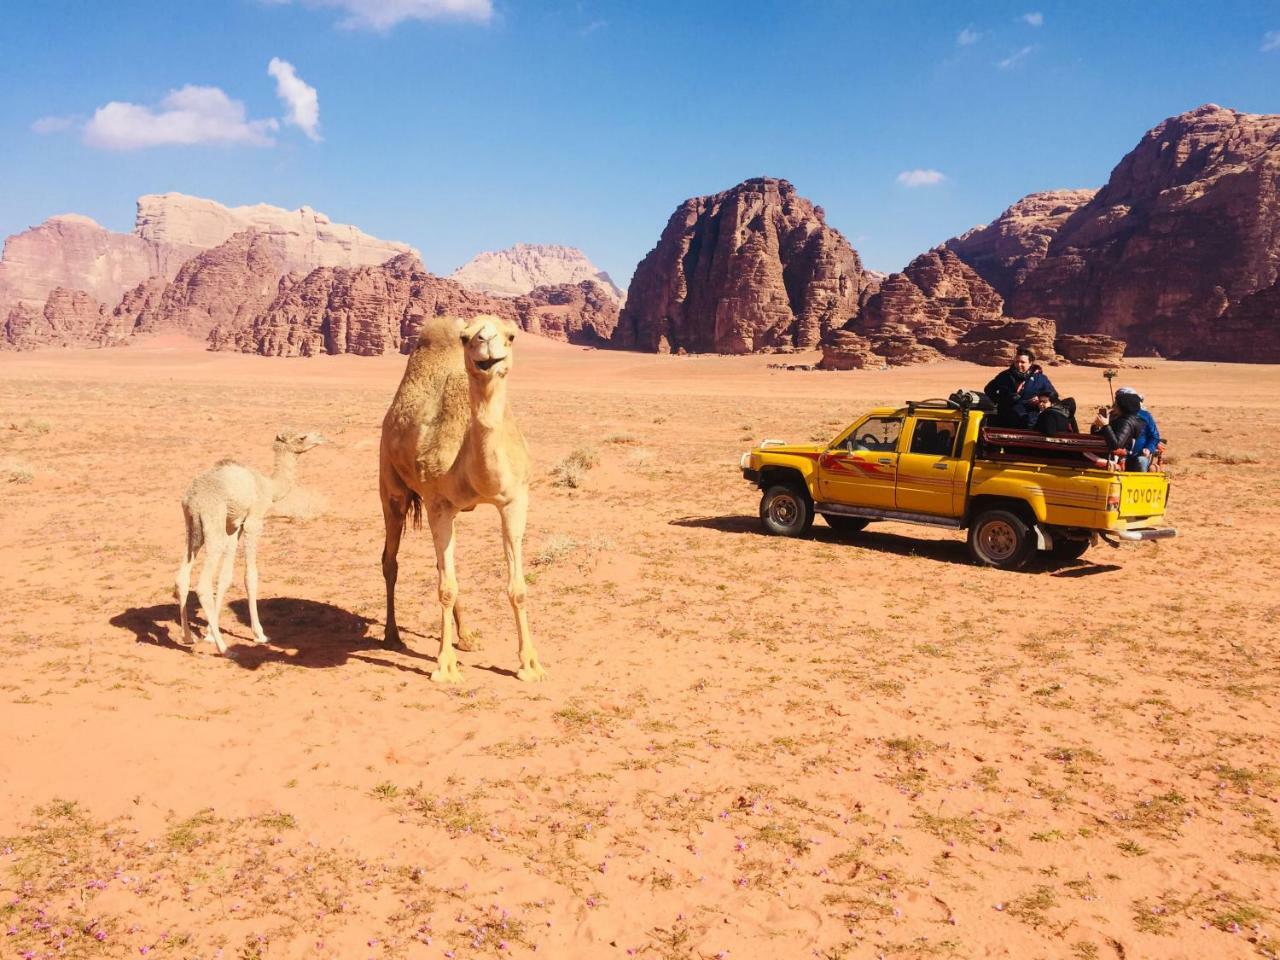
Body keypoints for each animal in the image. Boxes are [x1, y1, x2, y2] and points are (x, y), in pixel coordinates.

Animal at [175, 435, 325, 655]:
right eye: (301, 437)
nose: (321, 438)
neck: (269, 486)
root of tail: (193, 499)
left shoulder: (234, 526)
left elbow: (225, 577)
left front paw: (210, 633)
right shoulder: (253, 520)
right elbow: (250, 576)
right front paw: (259, 634)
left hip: (192, 528)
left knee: (182, 577)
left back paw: (187, 636)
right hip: (213, 526)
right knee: (202, 584)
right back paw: (225, 648)